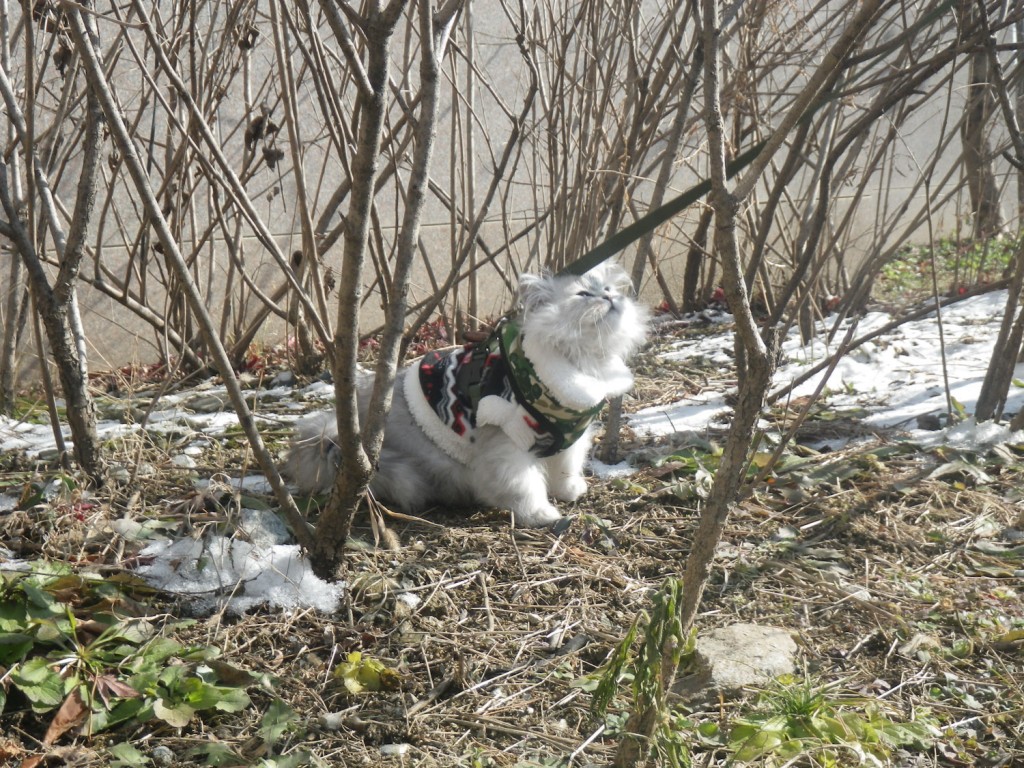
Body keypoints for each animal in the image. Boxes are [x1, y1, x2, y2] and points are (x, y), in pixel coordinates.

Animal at [286, 264, 647, 528]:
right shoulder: (509, 447)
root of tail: (335, 441)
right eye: (584, 294)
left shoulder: (570, 437)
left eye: (609, 289)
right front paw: (541, 515)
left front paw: (570, 492)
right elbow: (525, 487)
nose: (610, 298)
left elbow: (565, 470)